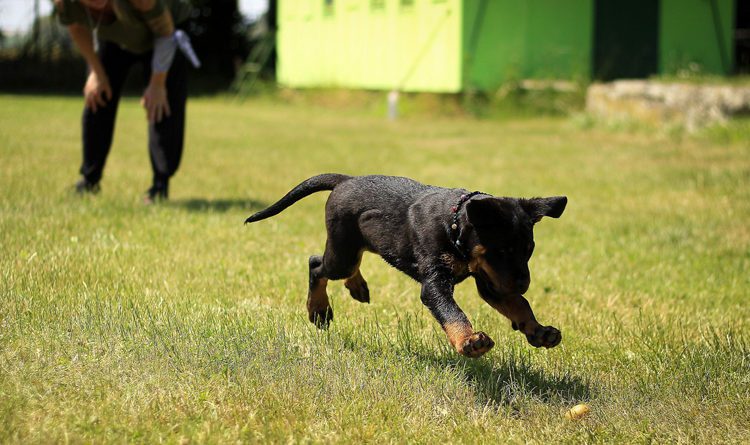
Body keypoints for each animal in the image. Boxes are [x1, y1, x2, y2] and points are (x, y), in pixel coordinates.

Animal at [244, 173, 568, 358]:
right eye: (501, 251)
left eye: (529, 251)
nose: (524, 283)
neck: (453, 225)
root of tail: (345, 180)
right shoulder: (436, 283)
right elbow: (452, 312)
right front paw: (468, 341)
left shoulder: (492, 281)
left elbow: (519, 305)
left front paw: (538, 331)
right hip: (342, 252)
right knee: (316, 264)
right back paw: (319, 310)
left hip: (356, 245)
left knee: (347, 265)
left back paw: (357, 287)